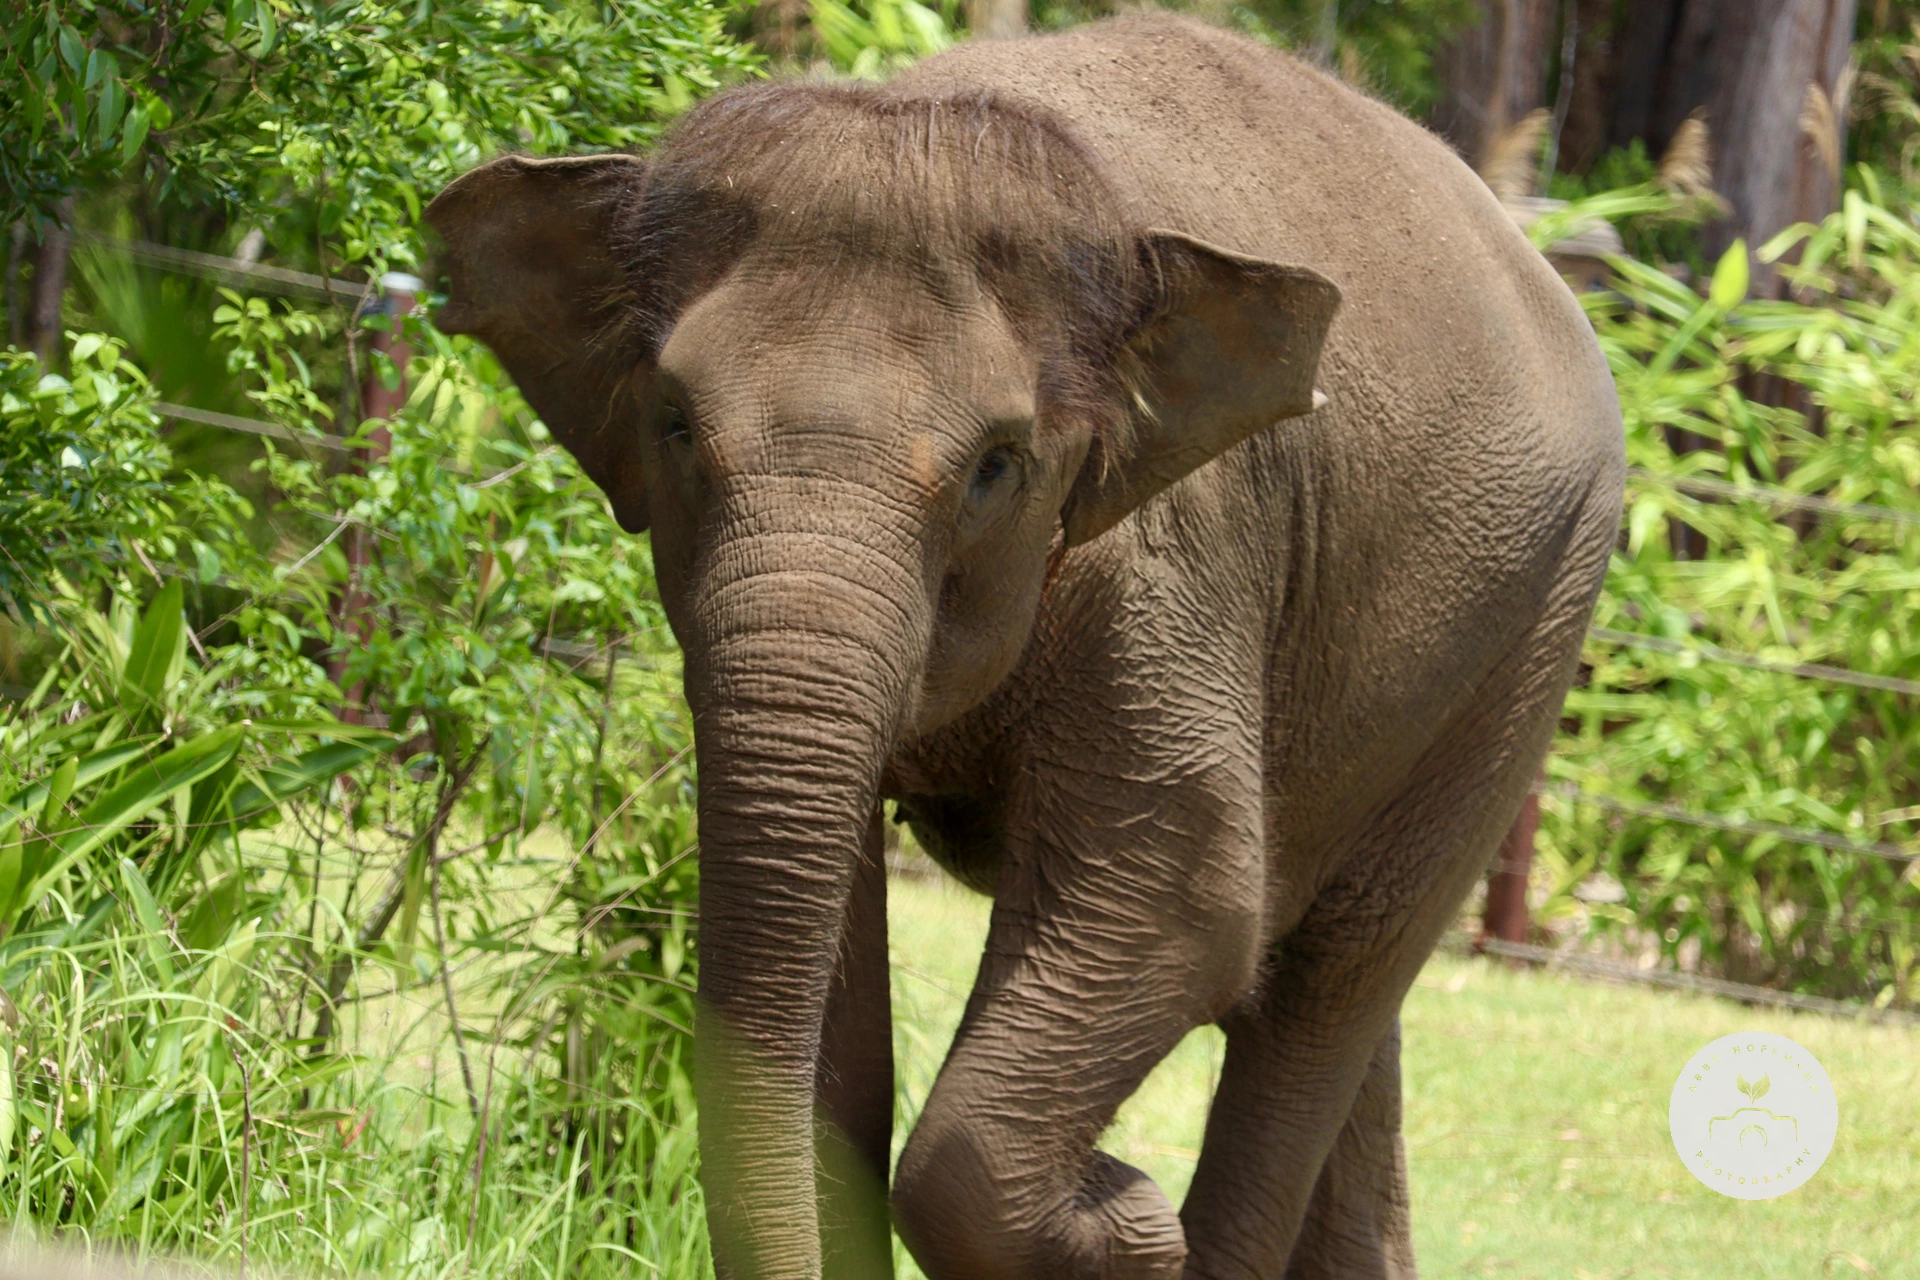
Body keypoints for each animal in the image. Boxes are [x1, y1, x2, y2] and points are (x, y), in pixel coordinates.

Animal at [425, 13, 1624, 1280]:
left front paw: (1121, 1220)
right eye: (671, 424)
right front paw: (1115, 1210)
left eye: (998, 464)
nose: (1112, 1179)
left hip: (1537, 627)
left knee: (1328, 982)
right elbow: (829, 969)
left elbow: (1184, 895)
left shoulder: (1166, 567)